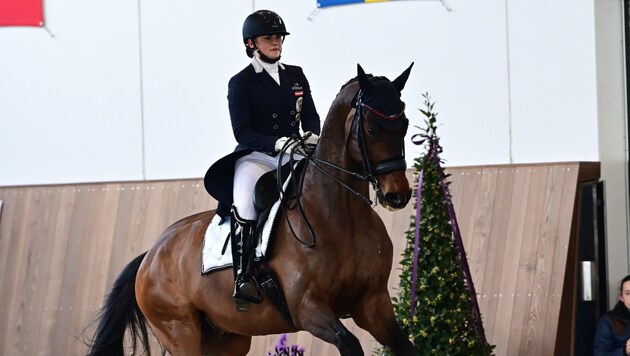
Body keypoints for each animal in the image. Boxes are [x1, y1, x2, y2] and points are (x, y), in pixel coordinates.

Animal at [85, 64, 420, 356]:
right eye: (372, 129)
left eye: (404, 125)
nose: (397, 195)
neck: (340, 216)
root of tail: (150, 255)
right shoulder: (308, 308)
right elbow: (349, 344)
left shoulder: (373, 304)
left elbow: (406, 346)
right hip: (180, 331)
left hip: (227, 337)